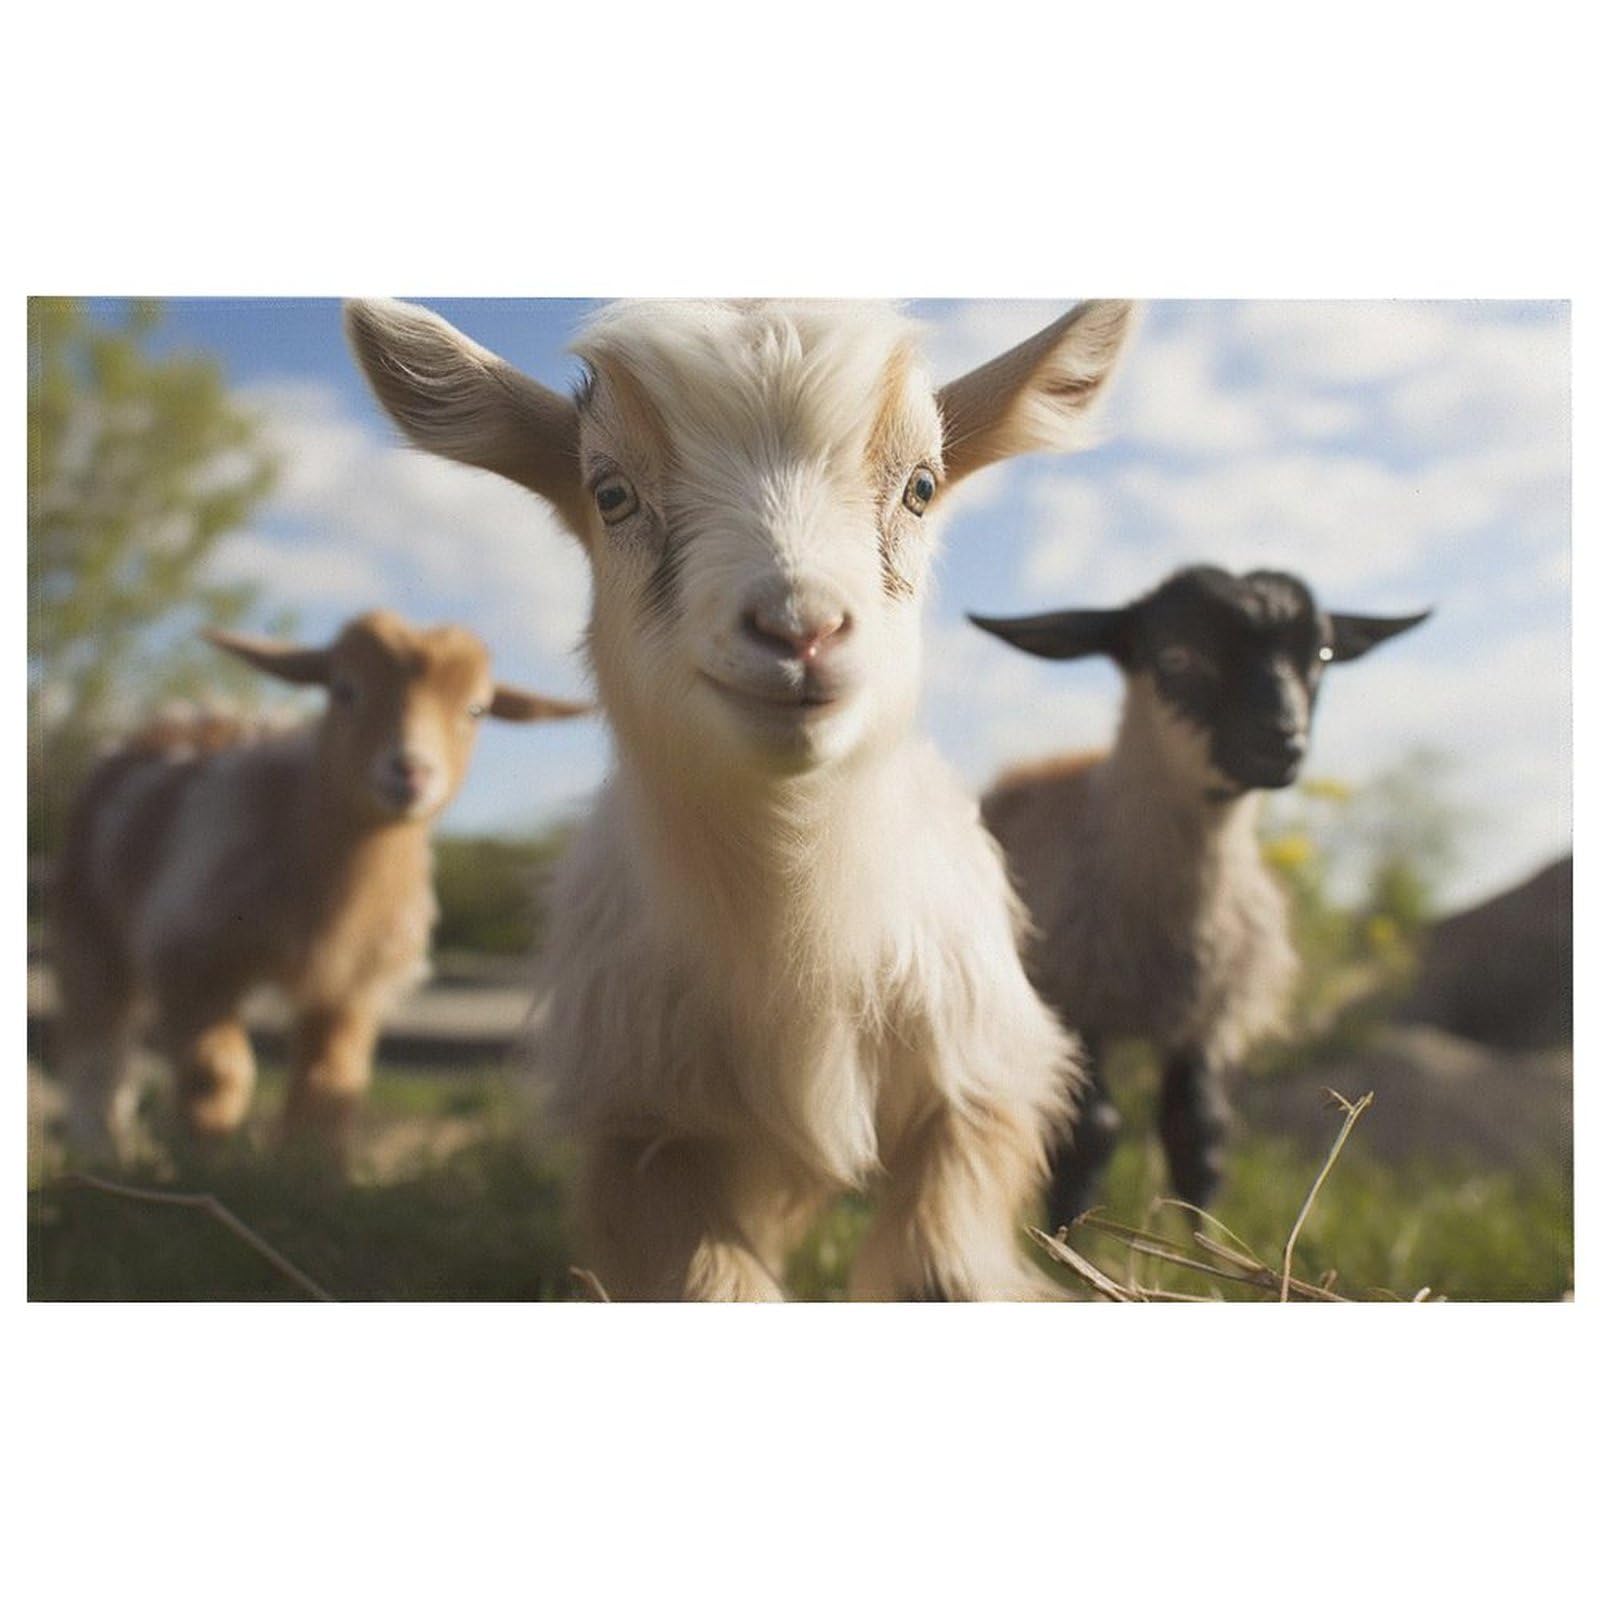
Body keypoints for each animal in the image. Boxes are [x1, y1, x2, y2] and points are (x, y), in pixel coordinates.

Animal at [52, 610, 588, 1162]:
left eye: (476, 708)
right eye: (344, 688)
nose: (411, 771)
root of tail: (172, 722)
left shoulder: (353, 982)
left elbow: (329, 1082)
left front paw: (311, 1167)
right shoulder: (189, 953)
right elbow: (218, 1072)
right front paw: (207, 1157)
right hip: (87, 921)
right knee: (98, 1046)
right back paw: (100, 1149)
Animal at [345, 296, 1137, 1299]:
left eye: (922, 487)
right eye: (610, 493)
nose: (800, 631)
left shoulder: (978, 1080)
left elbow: (937, 1270)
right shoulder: (641, 1124)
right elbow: (714, 1280)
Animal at [972, 565, 1430, 1219]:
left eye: (1321, 655)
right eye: (1176, 654)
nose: (1283, 740)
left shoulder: (1205, 1020)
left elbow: (1200, 1137)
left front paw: (1208, 1246)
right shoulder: (1078, 1002)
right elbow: (1089, 1136)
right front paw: (1064, 1238)